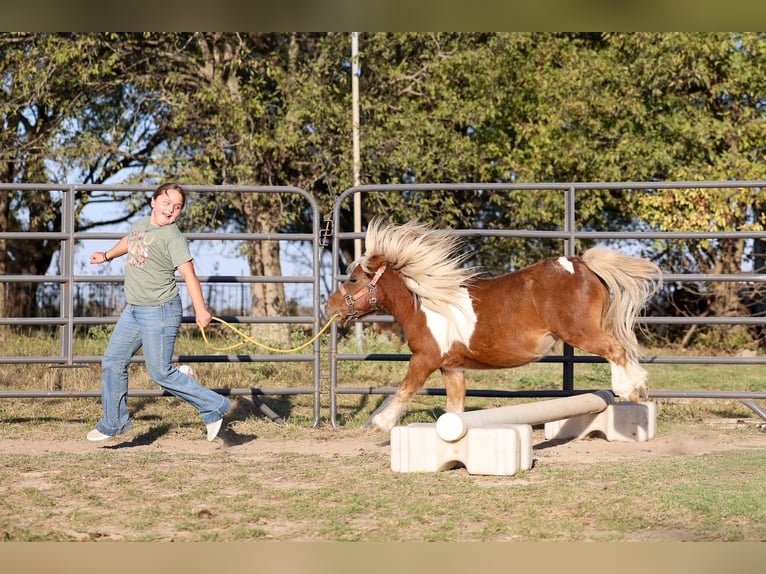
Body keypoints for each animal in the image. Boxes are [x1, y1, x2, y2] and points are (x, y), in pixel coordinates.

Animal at [325, 218, 662, 432]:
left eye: (353, 279)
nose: (330, 307)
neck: (427, 303)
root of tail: (582, 264)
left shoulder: (425, 359)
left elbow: (404, 390)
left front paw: (377, 423)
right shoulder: (452, 368)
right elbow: (455, 407)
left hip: (580, 332)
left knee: (615, 350)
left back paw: (631, 389)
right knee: (622, 349)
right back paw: (639, 388)